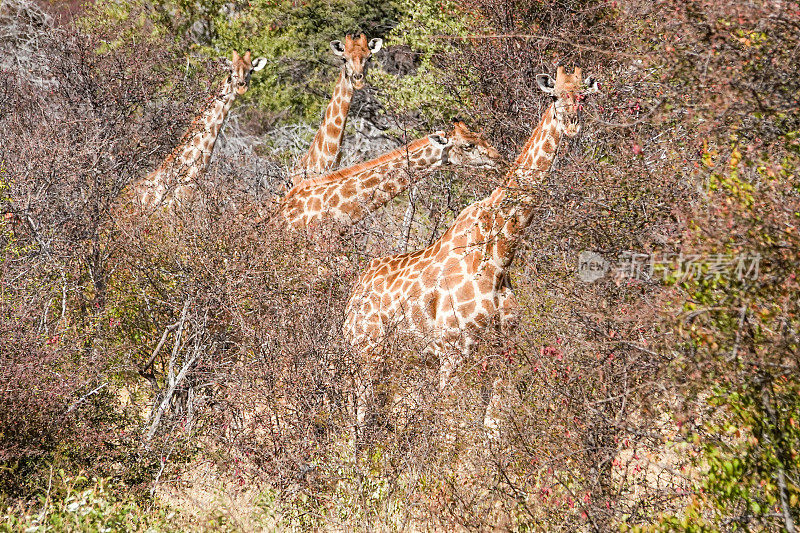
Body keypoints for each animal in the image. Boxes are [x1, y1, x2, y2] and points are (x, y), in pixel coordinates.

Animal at [344, 66, 600, 426]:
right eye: (554, 96)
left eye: (584, 96)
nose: (572, 124)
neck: (500, 254)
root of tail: (352, 297)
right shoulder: (453, 351)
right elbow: (452, 430)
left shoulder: (502, 352)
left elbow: (491, 425)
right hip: (365, 354)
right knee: (359, 418)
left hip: (398, 362)